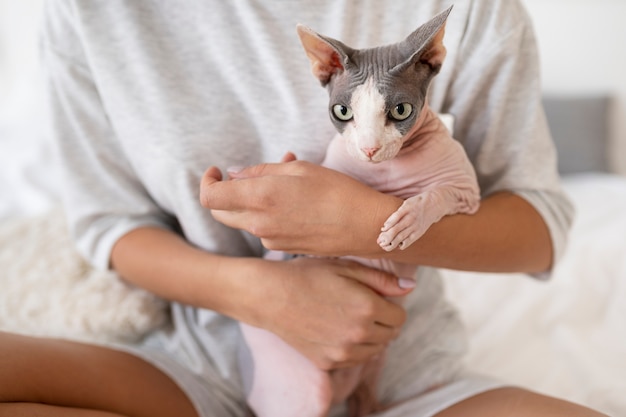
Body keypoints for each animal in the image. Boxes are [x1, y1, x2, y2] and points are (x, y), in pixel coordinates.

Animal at [238, 7, 478, 416]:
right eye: (342, 111)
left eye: (400, 110)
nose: (368, 149)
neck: (386, 172)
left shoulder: (467, 191)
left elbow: (436, 194)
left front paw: (406, 222)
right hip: (307, 391)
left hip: (375, 363)